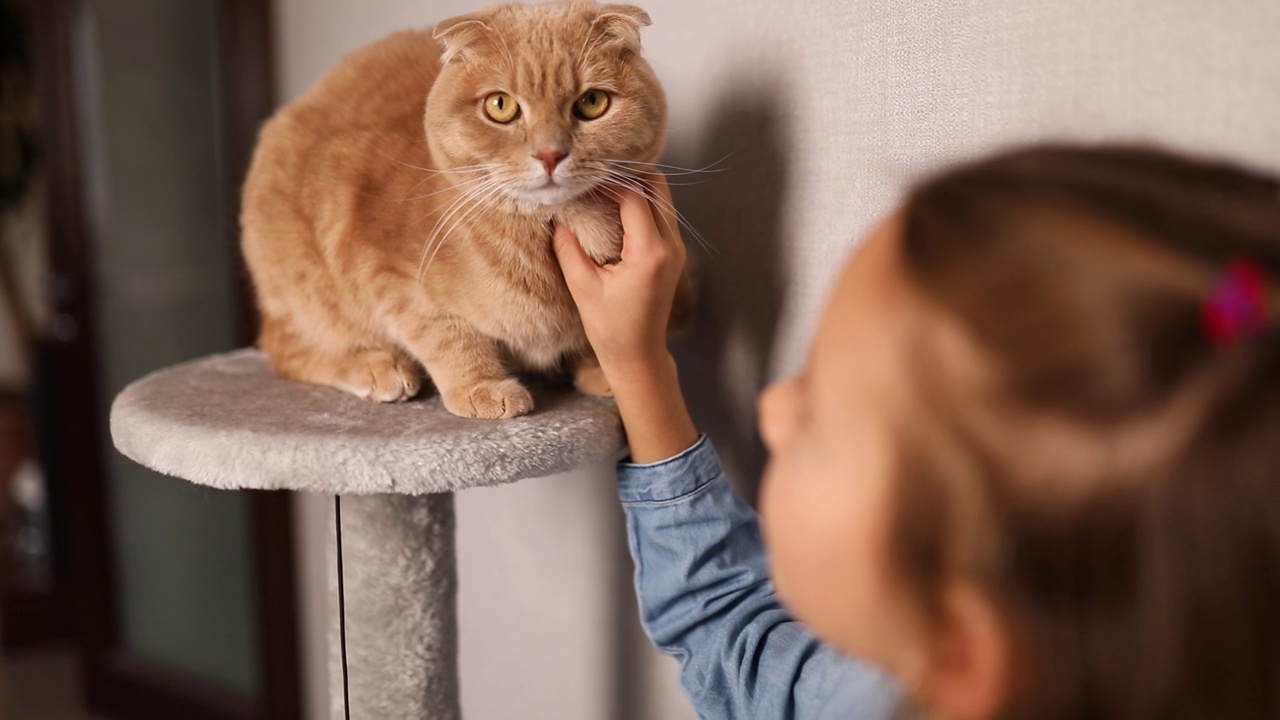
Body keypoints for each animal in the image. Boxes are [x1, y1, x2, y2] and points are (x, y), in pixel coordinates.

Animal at [239, 1, 691, 415]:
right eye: (500, 106)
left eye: (593, 102)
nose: (549, 154)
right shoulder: (382, 269)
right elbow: (443, 332)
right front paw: (482, 387)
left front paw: (601, 368)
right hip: (306, 290)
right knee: (284, 346)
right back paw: (377, 368)